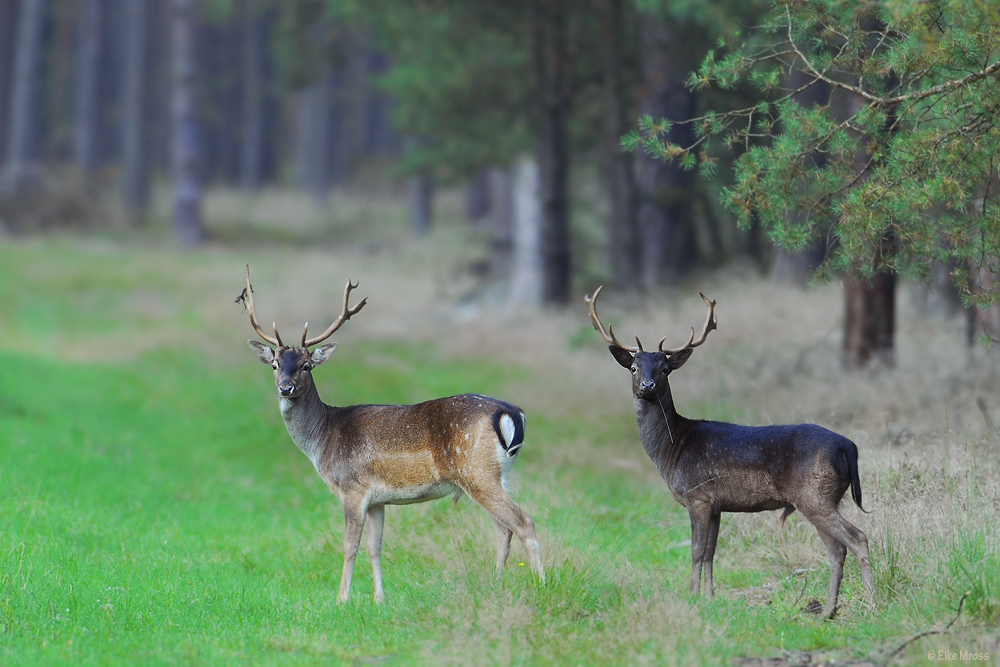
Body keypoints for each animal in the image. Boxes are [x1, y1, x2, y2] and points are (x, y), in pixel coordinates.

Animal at [239, 268, 544, 604]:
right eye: (276, 364)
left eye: (306, 366)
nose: (286, 388)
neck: (324, 439)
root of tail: (512, 413)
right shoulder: (377, 499)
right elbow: (376, 547)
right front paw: (379, 599)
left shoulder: (353, 488)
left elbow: (350, 545)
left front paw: (342, 599)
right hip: (493, 475)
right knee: (504, 529)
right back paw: (496, 583)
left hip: (476, 471)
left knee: (524, 522)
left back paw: (542, 584)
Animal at [584, 288, 876, 620]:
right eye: (633, 367)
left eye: (665, 369)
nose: (648, 385)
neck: (672, 449)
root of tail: (849, 446)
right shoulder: (717, 504)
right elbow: (711, 551)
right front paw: (710, 597)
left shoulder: (697, 495)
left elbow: (697, 550)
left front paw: (692, 596)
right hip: (822, 497)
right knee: (837, 549)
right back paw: (828, 611)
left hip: (815, 494)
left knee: (857, 538)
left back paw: (872, 603)